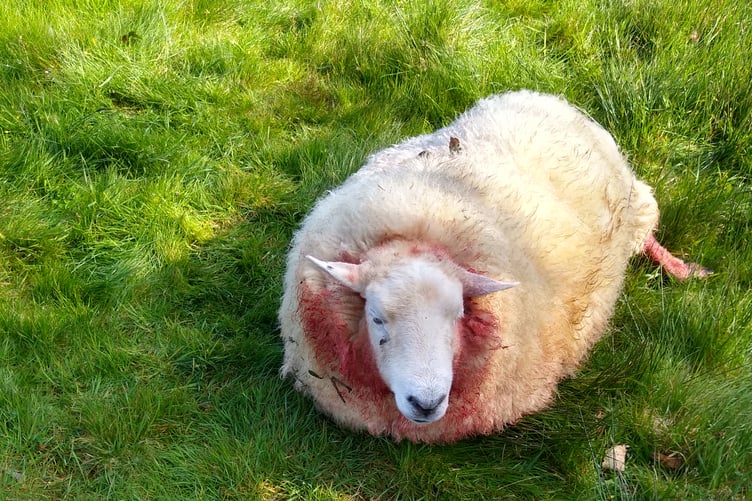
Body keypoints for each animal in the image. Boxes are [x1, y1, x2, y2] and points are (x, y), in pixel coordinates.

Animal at [278, 90, 709, 443]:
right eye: (377, 318)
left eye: (458, 315)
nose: (426, 402)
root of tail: (548, 97)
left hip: (637, 205)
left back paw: (681, 268)